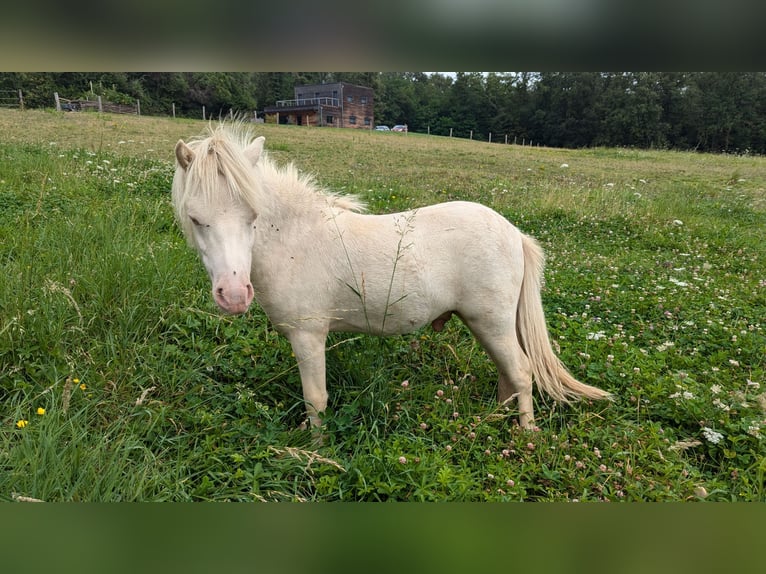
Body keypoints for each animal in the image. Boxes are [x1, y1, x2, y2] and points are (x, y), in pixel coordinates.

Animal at [172, 126, 612, 432]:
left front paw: (315, 449)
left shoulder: (308, 337)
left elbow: (316, 400)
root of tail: (515, 233)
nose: (233, 295)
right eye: (195, 218)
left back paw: (526, 434)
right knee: (509, 374)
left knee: (521, 372)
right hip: (486, 325)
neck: (295, 238)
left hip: (493, 321)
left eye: (253, 216)